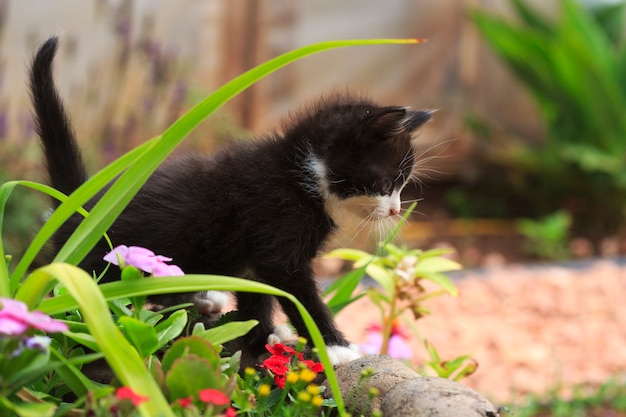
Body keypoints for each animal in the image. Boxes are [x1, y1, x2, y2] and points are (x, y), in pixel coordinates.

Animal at [30, 36, 428, 364]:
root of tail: (80, 207)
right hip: (98, 264)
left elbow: (256, 293)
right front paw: (334, 346)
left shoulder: (255, 250)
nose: (396, 209)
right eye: (388, 182)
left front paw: (262, 334)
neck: (300, 178)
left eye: (403, 185)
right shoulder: (275, 231)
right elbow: (298, 295)